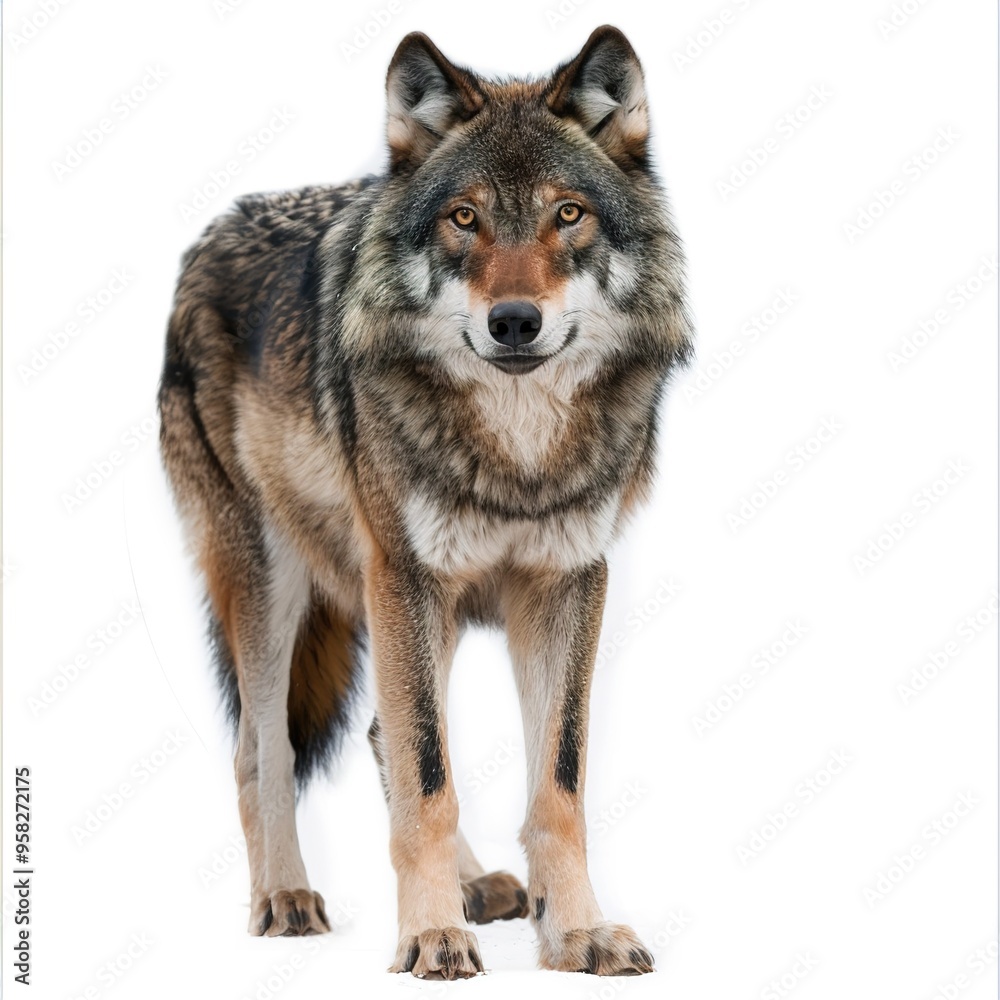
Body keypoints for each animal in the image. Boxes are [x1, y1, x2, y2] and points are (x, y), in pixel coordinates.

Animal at [158, 25, 693, 978]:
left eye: (568, 215)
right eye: (464, 218)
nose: (513, 321)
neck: (517, 454)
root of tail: (214, 231)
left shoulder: (566, 582)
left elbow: (554, 783)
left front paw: (577, 932)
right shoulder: (403, 575)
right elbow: (428, 778)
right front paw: (431, 934)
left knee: (382, 731)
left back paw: (482, 886)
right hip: (276, 581)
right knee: (264, 748)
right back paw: (285, 897)